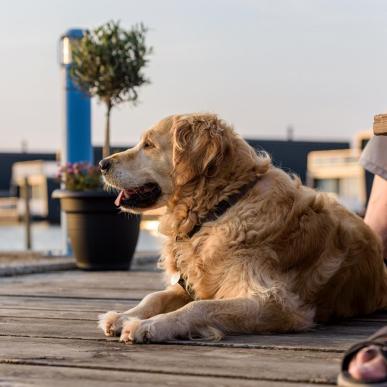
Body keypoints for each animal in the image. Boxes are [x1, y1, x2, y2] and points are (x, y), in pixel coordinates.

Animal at [98, 113, 387, 344]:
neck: (220, 207)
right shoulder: (189, 283)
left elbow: (199, 307)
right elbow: (155, 297)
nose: (102, 164)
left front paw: (149, 326)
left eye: (148, 145)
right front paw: (123, 316)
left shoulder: (277, 303)